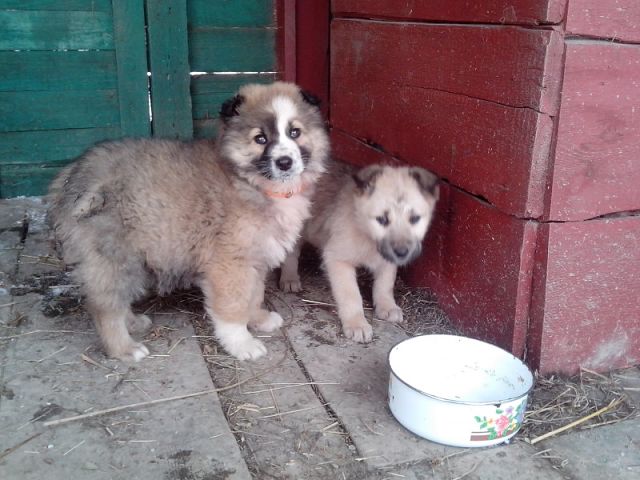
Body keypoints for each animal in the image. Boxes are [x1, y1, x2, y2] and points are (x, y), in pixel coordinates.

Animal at [48, 82, 329, 362]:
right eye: (260, 138)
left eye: (295, 132)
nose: (285, 162)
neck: (249, 182)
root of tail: (73, 176)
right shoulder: (229, 264)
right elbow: (233, 307)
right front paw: (242, 343)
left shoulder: (256, 258)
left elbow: (254, 295)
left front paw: (258, 319)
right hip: (114, 256)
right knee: (105, 308)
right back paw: (124, 348)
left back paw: (133, 323)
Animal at [279, 161, 438, 342]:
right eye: (382, 219)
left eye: (414, 219)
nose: (402, 252)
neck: (367, 235)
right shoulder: (338, 259)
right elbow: (351, 295)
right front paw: (357, 324)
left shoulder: (387, 261)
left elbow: (385, 284)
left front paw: (387, 305)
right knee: (291, 252)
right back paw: (289, 278)